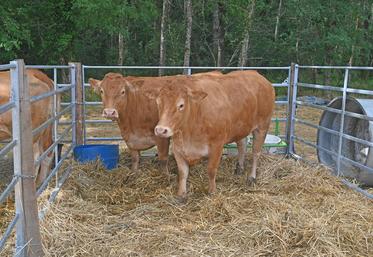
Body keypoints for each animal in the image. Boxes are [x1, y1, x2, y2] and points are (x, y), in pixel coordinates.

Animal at [87, 71, 222, 173]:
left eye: (122, 91)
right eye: (102, 91)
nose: (109, 112)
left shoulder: (162, 136)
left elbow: (163, 159)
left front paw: (165, 176)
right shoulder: (129, 139)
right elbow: (135, 158)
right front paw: (134, 173)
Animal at [147, 70, 274, 200]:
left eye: (181, 105)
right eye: (158, 103)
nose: (161, 130)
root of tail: (256, 74)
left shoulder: (217, 145)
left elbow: (211, 170)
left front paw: (212, 192)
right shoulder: (178, 148)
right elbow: (182, 173)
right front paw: (181, 195)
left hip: (262, 126)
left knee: (256, 152)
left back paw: (252, 177)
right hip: (241, 127)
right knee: (242, 145)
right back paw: (239, 168)